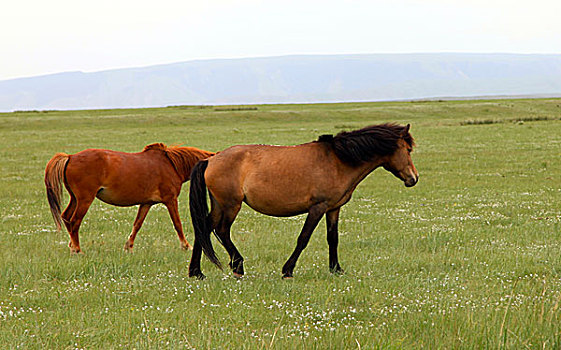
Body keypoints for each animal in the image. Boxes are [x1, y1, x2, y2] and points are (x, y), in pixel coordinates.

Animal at [43, 144, 213, 253]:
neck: (171, 165)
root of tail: (70, 157)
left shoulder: (146, 203)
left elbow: (137, 224)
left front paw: (128, 246)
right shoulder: (170, 200)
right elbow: (177, 224)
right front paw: (186, 246)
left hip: (75, 198)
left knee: (66, 217)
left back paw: (72, 245)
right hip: (85, 199)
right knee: (75, 221)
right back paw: (77, 249)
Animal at [188, 123, 416, 278]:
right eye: (408, 150)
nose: (414, 178)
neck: (338, 160)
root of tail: (210, 159)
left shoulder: (333, 209)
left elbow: (333, 238)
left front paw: (336, 269)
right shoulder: (317, 208)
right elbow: (303, 238)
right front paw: (287, 270)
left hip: (219, 205)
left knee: (204, 228)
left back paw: (196, 272)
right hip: (230, 205)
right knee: (221, 230)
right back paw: (238, 266)